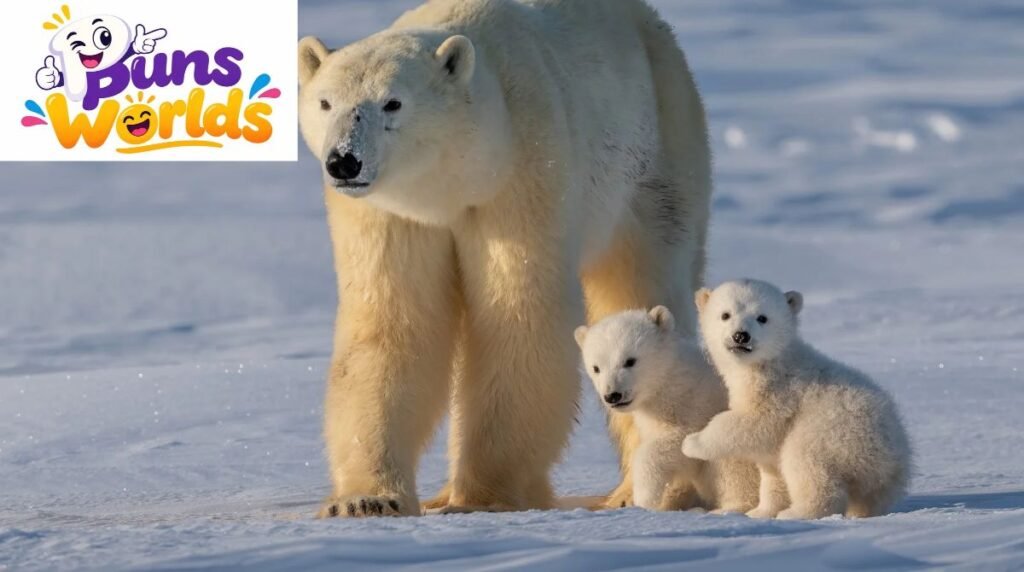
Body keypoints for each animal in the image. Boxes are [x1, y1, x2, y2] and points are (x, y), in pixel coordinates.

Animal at [297, 0, 712, 518]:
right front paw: (365, 500)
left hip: (655, 155)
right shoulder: (392, 213)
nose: (343, 161)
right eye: (325, 103)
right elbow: (391, 325)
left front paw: (483, 498)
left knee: (643, 282)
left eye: (392, 102)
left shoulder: (523, 174)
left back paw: (639, 491)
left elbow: (517, 319)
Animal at [575, 307, 760, 512]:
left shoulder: (697, 406)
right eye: (596, 368)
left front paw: (645, 497)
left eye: (630, 361)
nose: (613, 395)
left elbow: (678, 443)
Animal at [682, 280, 912, 520]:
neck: (770, 362)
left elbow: (752, 423)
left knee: (804, 461)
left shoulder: (779, 392)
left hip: (833, 432)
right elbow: (772, 470)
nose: (741, 336)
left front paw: (692, 442)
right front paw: (760, 512)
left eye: (762, 317)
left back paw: (797, 512)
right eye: (725, 314)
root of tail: (893, 458)